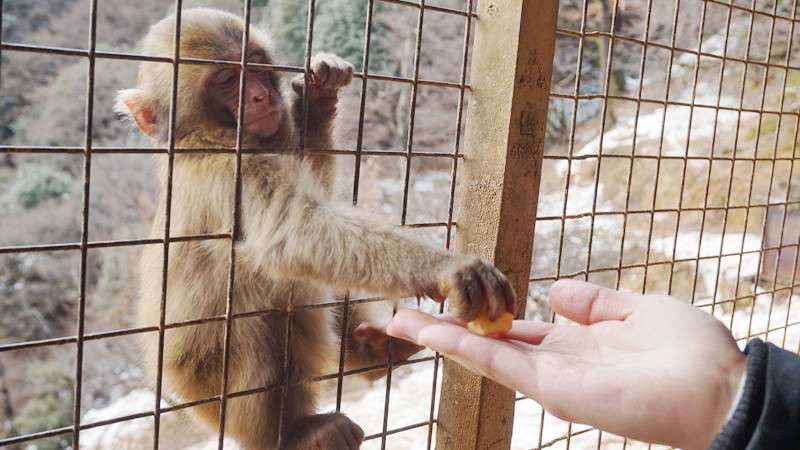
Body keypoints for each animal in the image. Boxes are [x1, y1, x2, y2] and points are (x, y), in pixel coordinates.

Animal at [115, 7, 516, 450]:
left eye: (257, 66)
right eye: (227, 80)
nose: (261, 96)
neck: (202, 135)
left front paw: (316, 99)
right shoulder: (227, 167)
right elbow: (294, 229)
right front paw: (446, 268)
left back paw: (372, 351)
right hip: (210, 393)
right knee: (263, 301)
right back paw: (294, 433)